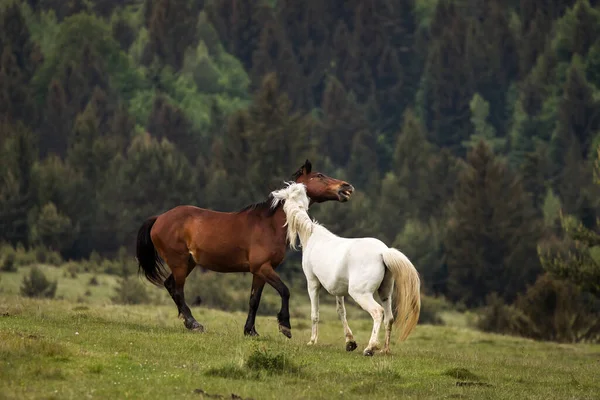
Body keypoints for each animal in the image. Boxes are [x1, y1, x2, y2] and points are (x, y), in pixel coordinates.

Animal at [136, 159, 352, 338]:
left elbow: (254, 300)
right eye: (319, 176)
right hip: (179, 263)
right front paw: (285, 326)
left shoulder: (259, 272)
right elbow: (285, 291)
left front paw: (250, 331)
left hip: (188, 263)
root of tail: (159, 218)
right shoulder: (263, 267)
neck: (270, 224)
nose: (346, 187)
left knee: (170, 286)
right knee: (178, 290)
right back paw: (194, 324)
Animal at [270, 183, 420, 354]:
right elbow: (341, 312)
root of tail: (383, 252)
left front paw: (312, 341)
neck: (312, 235)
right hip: (385, 293)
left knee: (377, 313)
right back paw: (385, 350)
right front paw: (350, 342)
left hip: (360, 293)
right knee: (389, 318)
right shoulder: (338, 291)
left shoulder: (312, 283)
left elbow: (315, 314)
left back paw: (370, 348)